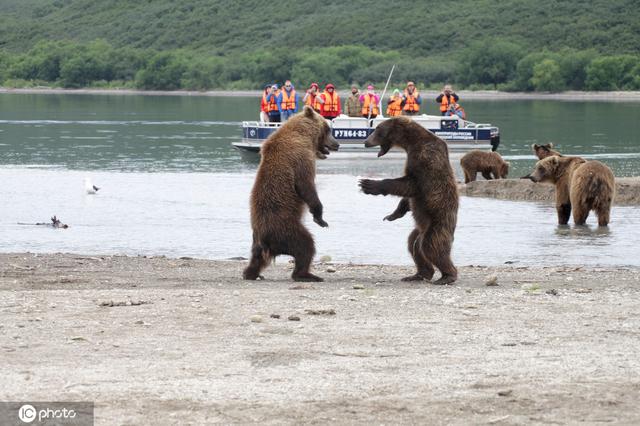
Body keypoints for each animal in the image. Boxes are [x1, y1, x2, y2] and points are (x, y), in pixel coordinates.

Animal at [243, 106, 339, 282]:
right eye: (328, 129)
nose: (337, 144)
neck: (304, 136)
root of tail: (266, 240)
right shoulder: (300, 158)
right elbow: (306, 185)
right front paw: (320, 218)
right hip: (285, 227)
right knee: (305, 245)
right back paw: (307, 275)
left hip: (257, 239)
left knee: (256, 257)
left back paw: (251, 273)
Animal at [359, 116, 458, 285]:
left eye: (377, 129)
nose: (365, 141)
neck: (411, 143)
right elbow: (408, 196)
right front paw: (392, 214)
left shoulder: (426, 159)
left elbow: (411, 185)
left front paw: (369, 184)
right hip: (419, 228)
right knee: (413, 245)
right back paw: (418, 274)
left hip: (438, 222)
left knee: (431, 246)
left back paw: (447, 276)